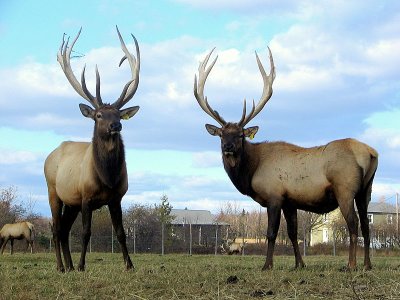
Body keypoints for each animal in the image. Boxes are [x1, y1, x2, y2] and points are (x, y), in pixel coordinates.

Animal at [44, 27, 140, 274]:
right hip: (53, 190)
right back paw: (61, 266)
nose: (115, 126)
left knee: (65, 229)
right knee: (56, 228)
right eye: (98, 115)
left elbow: (121, 233)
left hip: (71, 202)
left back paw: (68, 266)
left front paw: (129, 265)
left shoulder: (116, 198)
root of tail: (50, 155)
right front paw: (81, 265)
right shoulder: (86, 197)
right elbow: (86, 233)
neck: (107, 177)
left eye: (118, 114)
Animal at [194, 47, 378, 270]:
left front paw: (267, 265)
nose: (228, 147)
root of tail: (370, 152)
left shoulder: (274, 195)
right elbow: (292, 233)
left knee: (353, 225)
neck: (251, 171)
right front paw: (299, 264)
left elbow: (271, 233)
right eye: (221, 134)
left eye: (240, 135)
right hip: (365, 190)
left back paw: (351, 265)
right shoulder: (290, 201)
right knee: (366, 226)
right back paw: (367, 265)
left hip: (345, 189)